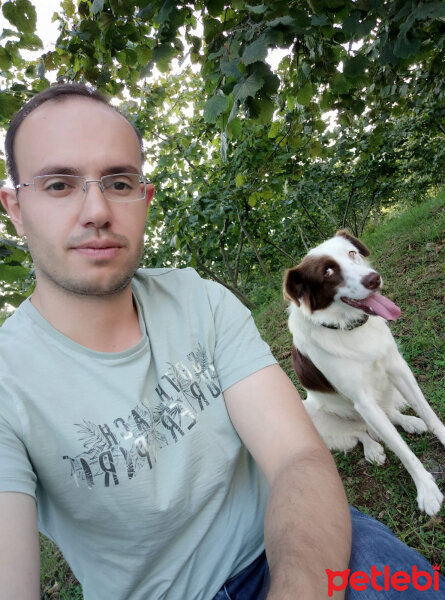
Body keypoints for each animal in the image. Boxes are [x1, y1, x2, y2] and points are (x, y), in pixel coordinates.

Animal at [284, 230, 444, 516]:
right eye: (328, 271)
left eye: (352, 253)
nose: (373, 279)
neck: (347, 327)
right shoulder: (363, 401)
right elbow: (402, 450)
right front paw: (426, 488)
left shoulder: (398, 368)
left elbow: (429, 413)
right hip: (311, 412)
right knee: (359, 432)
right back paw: (372, 448)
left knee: (389, 414)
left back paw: (409, 422)